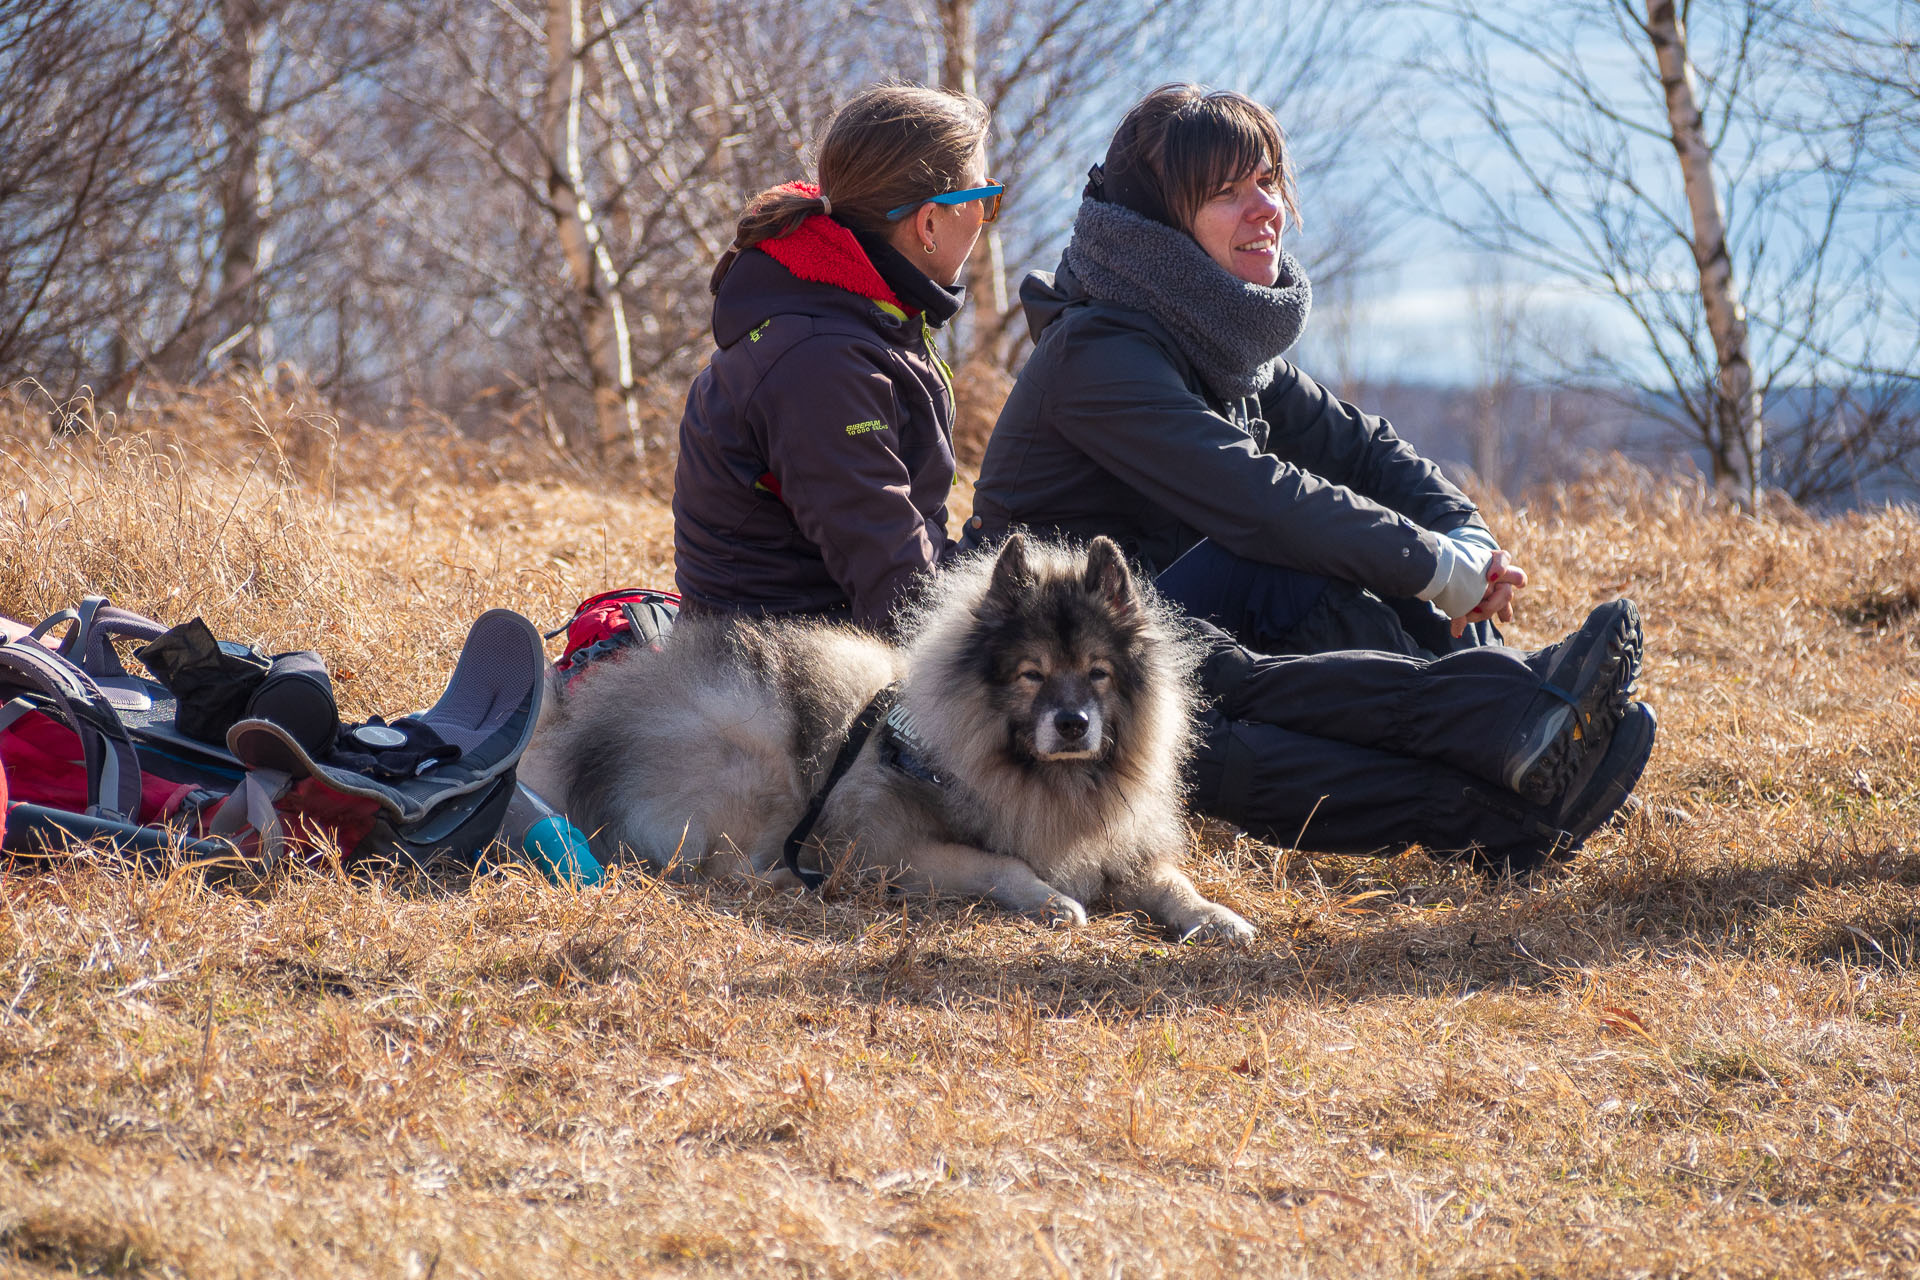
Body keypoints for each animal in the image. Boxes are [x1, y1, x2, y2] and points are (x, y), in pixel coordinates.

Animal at [518, 537, 1251, 948]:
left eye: (1098, 672)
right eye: (1031, 673)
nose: (1072, 723)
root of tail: (581, 729)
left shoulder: (1124, 847)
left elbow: (1173, 883)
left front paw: (1217, 918)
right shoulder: (894, 848)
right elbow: (1002, 863)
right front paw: (1051, 901)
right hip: (752, 762)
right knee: (717, 865)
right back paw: (789, 879)